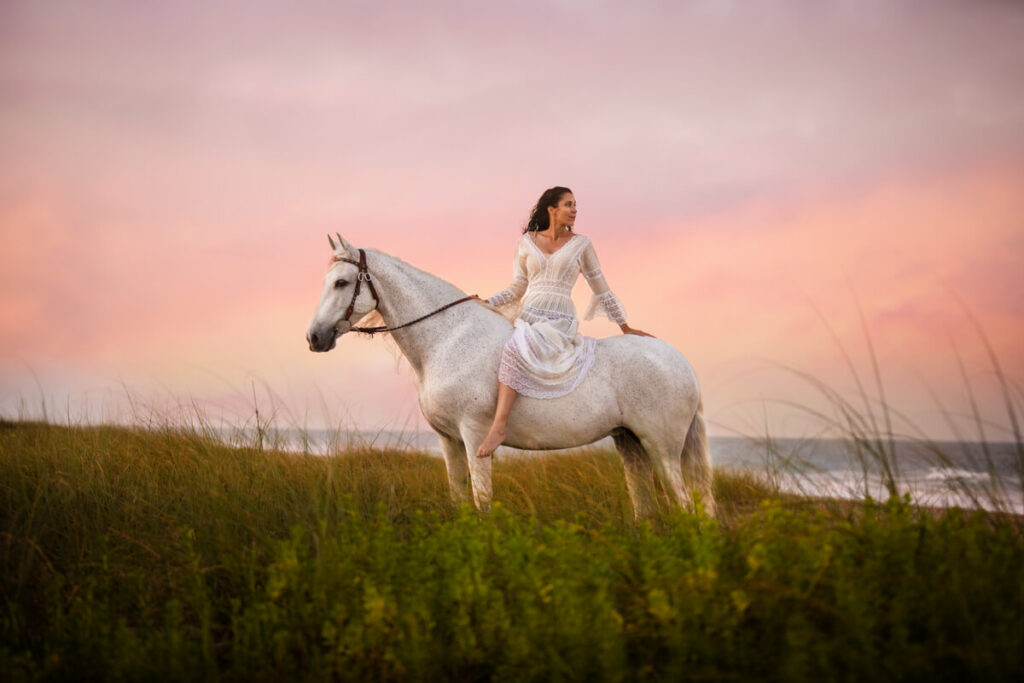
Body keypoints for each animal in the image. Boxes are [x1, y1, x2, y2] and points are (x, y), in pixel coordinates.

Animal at [306, 235, 714, 518]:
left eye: (341, 282)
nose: (314, 338)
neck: (450, 339)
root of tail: (682, 364)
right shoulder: (448, 442)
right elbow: (460, 501)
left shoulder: (475, 437)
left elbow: (482, 502)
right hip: (630, 444)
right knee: (647, 509)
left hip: (662, 448)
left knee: (688, 507)